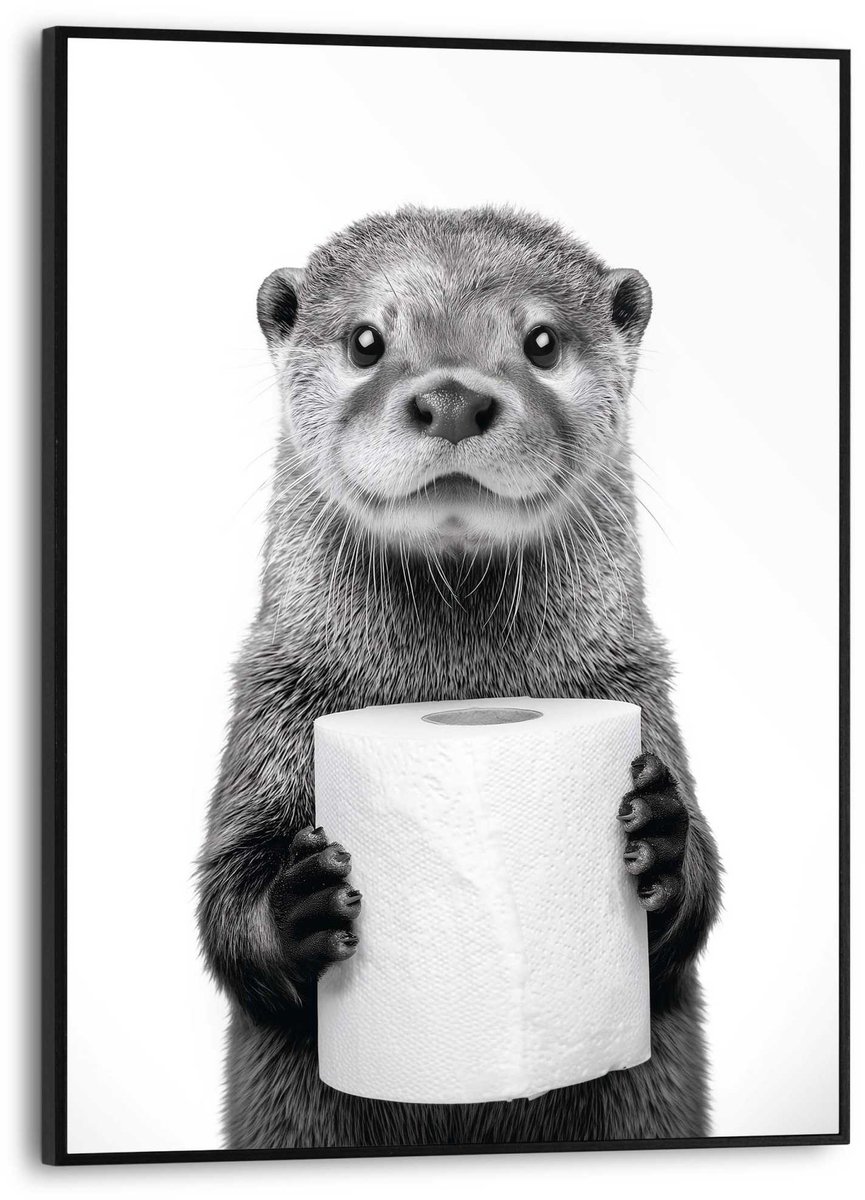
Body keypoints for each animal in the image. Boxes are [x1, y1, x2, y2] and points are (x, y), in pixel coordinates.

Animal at [197, 206, 721, 1150]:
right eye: (366, 339)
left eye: (541, 341)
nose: (450, 398)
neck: (454, 678)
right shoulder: (272, 703)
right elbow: (224, 899)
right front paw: (299, 904)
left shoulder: (636, 688)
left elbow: (691, 915)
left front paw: (662, 837)